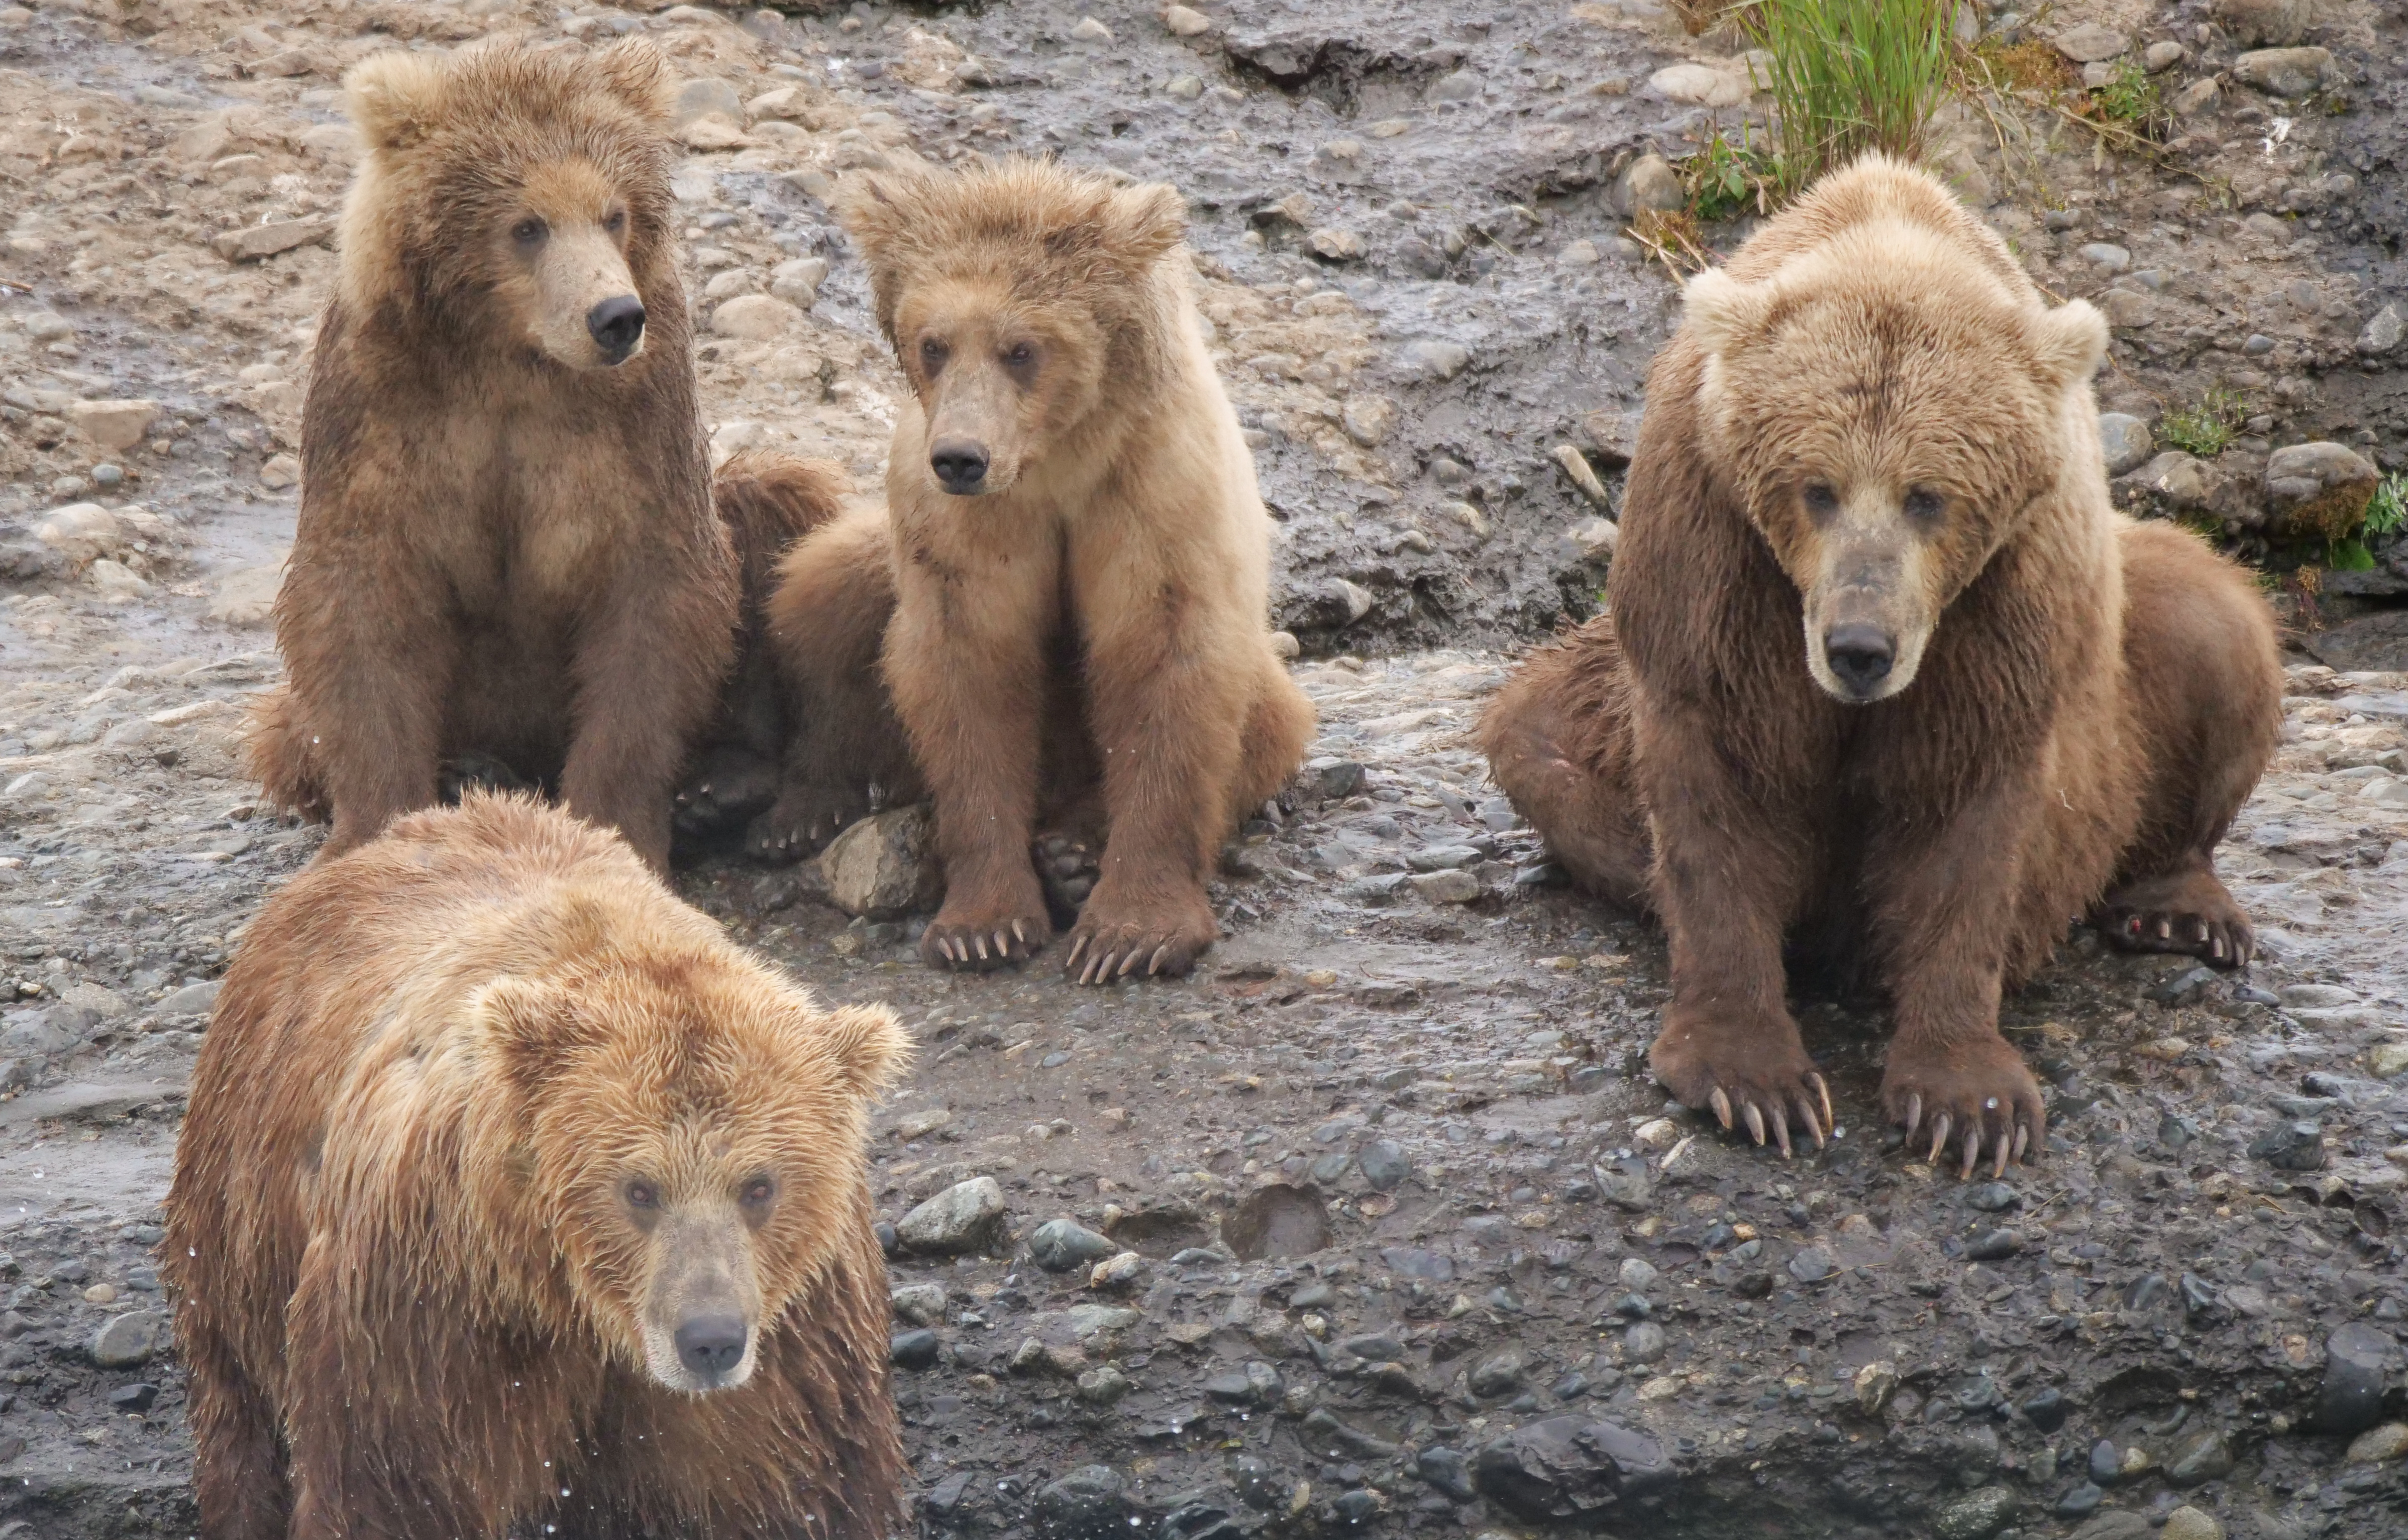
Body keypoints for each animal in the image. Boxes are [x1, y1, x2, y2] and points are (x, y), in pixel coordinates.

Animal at [163, 792, 909, 1539]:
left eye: (760, 1185)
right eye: (639, 1189)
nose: (710, 1339)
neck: (580, 1309)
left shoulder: (794, 1338)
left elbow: (789, 1485)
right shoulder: (429, 1310)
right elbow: (396, 1484)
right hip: (238, 1217)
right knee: (238, 1400)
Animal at [245, 38, 786, 875]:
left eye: (613, 213)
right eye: (527, 225)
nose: (614, 317)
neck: (509, 353)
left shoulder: (641, 415)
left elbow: (657, 595)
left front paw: (616, 822)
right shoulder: (378, 405)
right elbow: (359, 600)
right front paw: (373, 827)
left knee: (776, 501)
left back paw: (722, 785)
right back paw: (467, 770)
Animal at [751, 158, 1316, 983]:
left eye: (1021, 348)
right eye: (933, 343)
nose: (961, 456)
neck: (1055, 459)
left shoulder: (1152, 494)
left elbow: (1161, 662)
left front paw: (1130, 934)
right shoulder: (964, 523)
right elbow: (970, 670)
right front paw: (981, 926)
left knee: (1265, 715)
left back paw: (1074, 850)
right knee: (824, 596)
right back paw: (800, 808)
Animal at [1478, 154, 2281, 1176]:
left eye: (1926, 495)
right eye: (1814, 487)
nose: (1858, 646)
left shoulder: (2005, 608)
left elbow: (1967, 820)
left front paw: (1967, 1099)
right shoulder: (1710, 559)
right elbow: (1713, 792)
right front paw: (1753, 1079)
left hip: (2122, 674)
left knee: (2209, 621)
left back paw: (2177, 908)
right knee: (1535, 737)